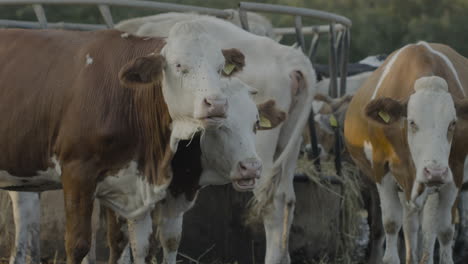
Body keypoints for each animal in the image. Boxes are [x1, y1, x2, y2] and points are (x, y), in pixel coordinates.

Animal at [0, 25, 249, 264]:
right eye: (179, 66)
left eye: (220, 68)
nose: (217, 104)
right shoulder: (76, 173)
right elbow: (78, 245)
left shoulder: (126, 185)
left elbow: (126, 245)